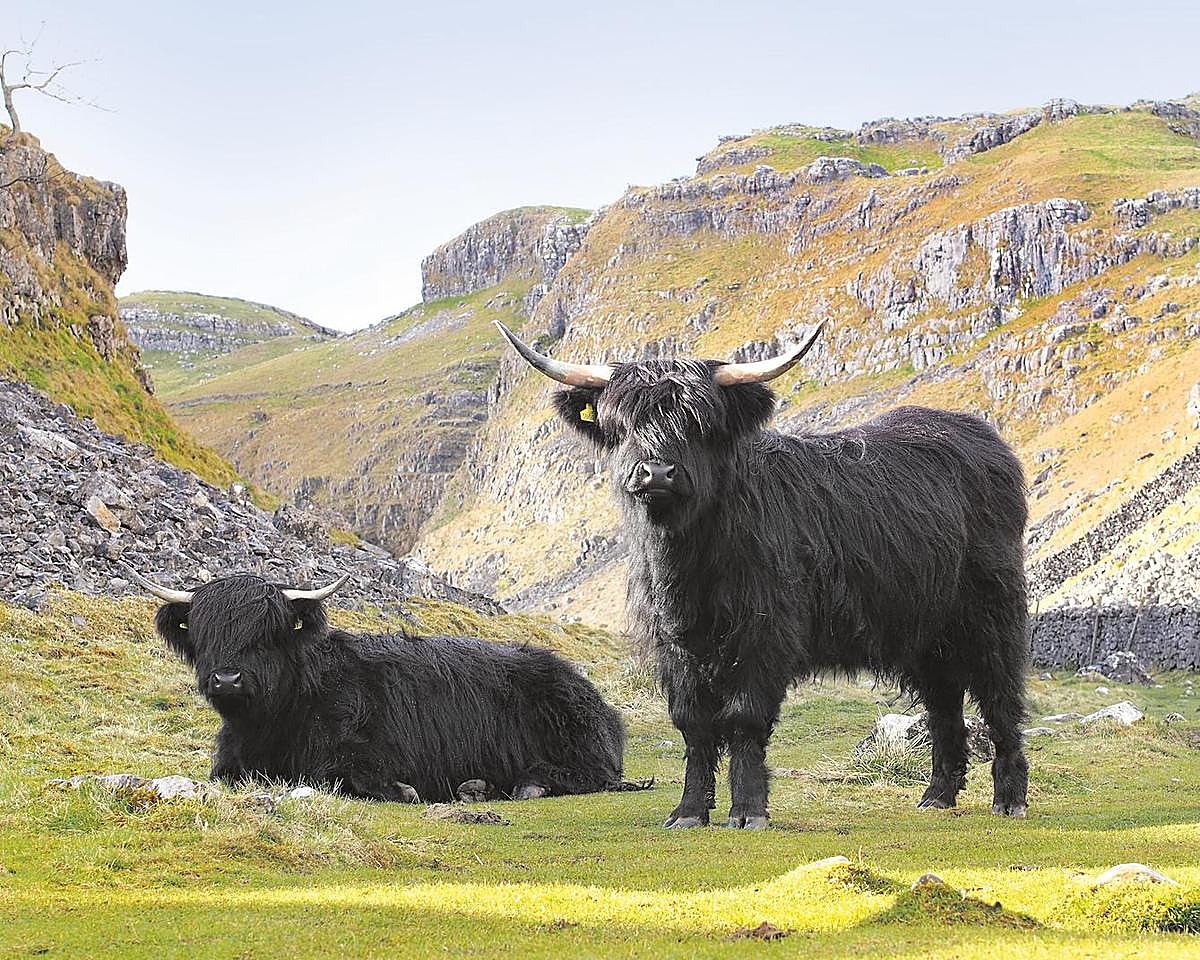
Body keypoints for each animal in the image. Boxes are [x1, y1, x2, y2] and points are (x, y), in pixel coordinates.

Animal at [124, 567, 628, 802]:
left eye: (268, 630)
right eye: (203, 630)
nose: (227, 678)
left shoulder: (365, 751)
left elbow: (339, 776)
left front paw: (403, 791)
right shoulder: (232, 763)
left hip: (577, 743)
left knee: (592, 774)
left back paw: (526, 786)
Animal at [496, 319, 1030, 829]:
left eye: (700, 423)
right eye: (620, 423)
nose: (657, 473)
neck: (688, 567)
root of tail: (985, 439)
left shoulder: (762, 637)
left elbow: (744, 720)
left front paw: (748, 811)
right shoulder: (674, 647)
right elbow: (694, 726)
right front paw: (688, 812)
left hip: (992, 614)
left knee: (1001, 699)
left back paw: (1010, 800)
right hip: (924, 634)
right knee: (944, 705)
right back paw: (937, 796)